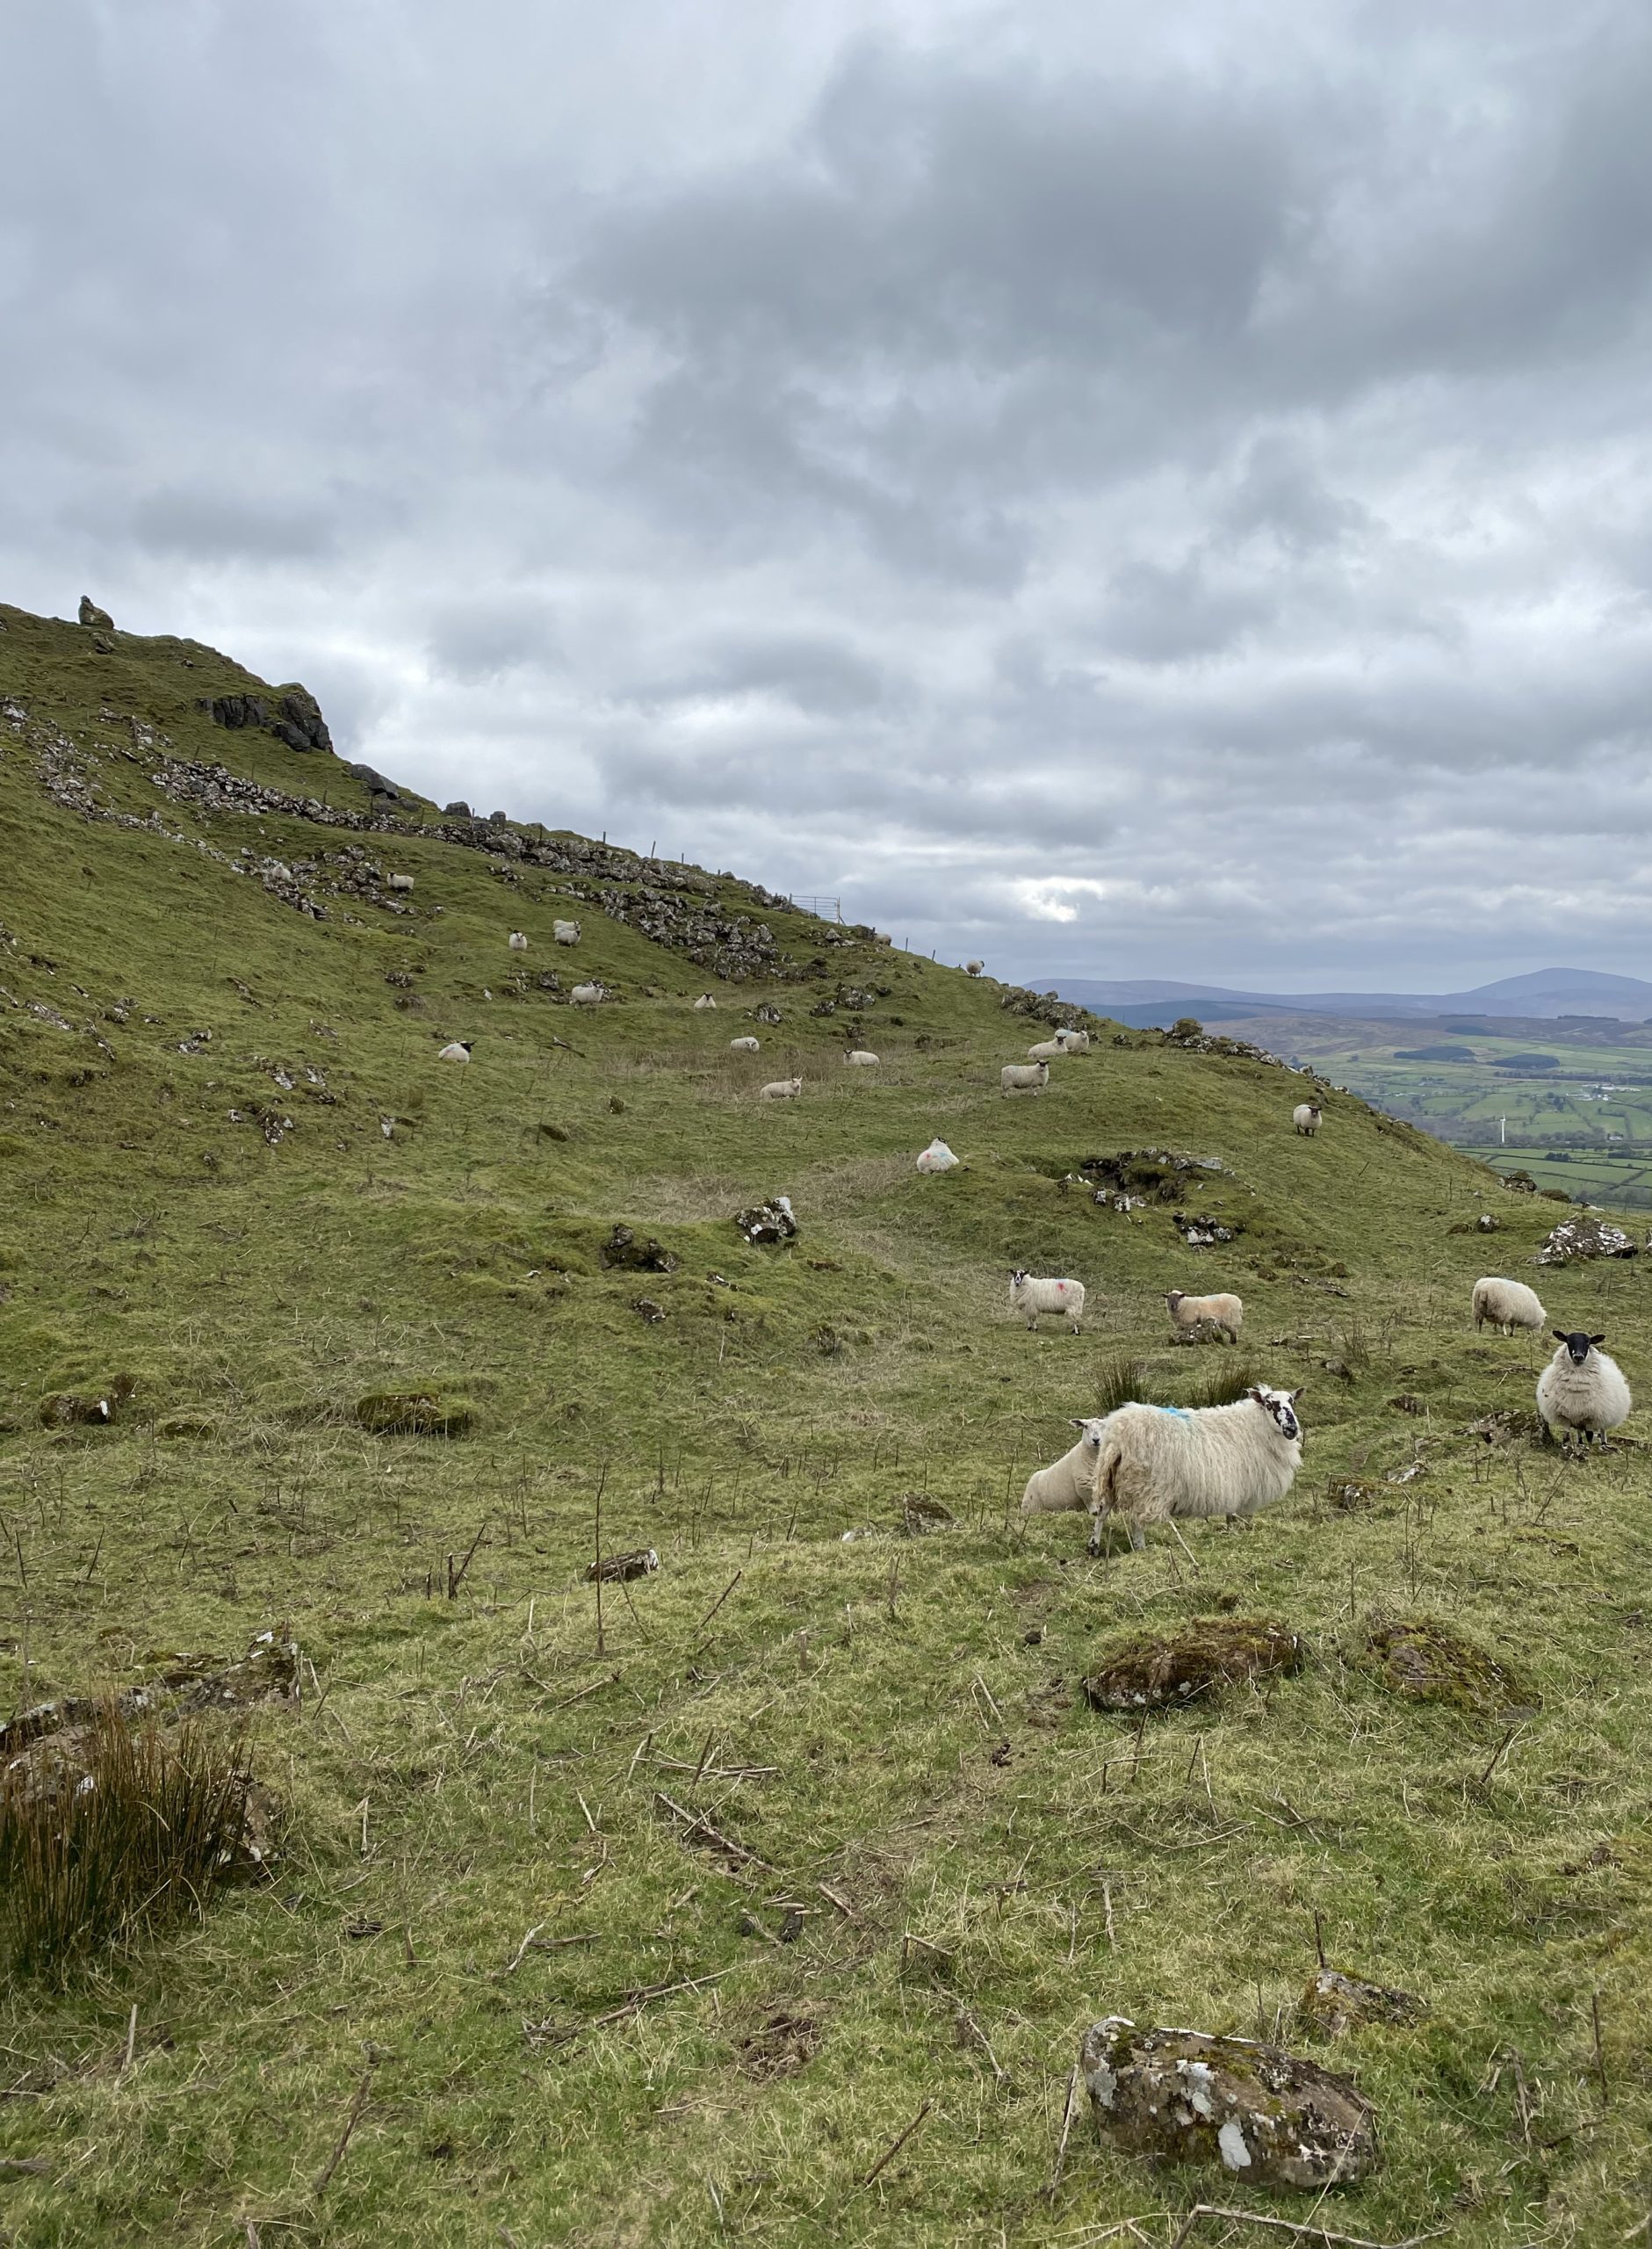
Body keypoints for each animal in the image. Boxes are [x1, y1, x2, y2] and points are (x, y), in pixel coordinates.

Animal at [1092, 1376, 1312, 1556]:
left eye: (1292, 1402)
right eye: (1269, 1404)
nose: (1292, 1429)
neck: (1256, 1426)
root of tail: (1117, 1437)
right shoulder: (1239, 1487)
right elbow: (1234, 1517)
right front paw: (1235, 1536)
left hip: (1110, 1478)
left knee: (1102, 1511)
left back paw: (1094, 1547)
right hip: (1145, 1486)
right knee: (1136, 1521)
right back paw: (1141, 1549)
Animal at [1528, 1322, 1636, 1448]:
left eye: (1588, 1342)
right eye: (1568, 1341)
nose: (1578, 1357)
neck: (1576, 1385)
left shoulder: (1591, 1417)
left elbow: (1589, 1436)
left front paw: (1588, 1448)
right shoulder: (1565, 1416)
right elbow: (1566, 1435)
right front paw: (1566, 1446)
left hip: (1605, 1413)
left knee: (1603, 1429)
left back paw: (1603, 1444)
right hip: (1578, 1418)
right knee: (1579, 1430)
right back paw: (1580, 1443)